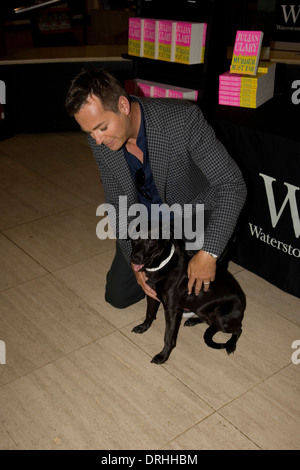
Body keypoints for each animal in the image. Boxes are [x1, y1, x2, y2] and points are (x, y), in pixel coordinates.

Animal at [131, 231, 246, 364]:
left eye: (151, 241)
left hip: (222, 319)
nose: (134, 258)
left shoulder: (172, 311)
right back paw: (193, 320)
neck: (164, 265)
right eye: (134, 237)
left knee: (238, 330)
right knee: (210, 322)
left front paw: (163, 356)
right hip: (201, 308)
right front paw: (143, 327)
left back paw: (231, 344)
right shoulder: (151, 295)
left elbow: (168, 337)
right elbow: (149, 314)